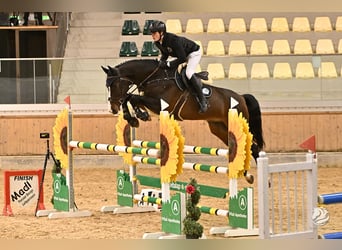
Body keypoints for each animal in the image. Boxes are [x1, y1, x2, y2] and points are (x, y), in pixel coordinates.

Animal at [101, 58, 264, 184]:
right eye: (107, 86)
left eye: (114, 85)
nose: (112, 109)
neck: (156, 78)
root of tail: (241, 97)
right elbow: (130, 98)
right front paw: (137, 117)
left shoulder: (160, 104)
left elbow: (131, 97)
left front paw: (137, 117)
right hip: (219, 128)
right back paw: (247, 175)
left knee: (253, 147)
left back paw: (257, 178)